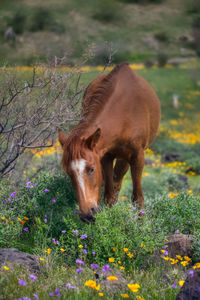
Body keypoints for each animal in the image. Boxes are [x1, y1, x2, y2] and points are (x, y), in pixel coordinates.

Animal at [58, 62, 161, 223]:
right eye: (69, 172)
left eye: (91, 169)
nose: (86, 215)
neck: (124, 114)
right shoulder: (105, 156)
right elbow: (109, 196)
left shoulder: (137, 156)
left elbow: (137, 197)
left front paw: (140, 224)